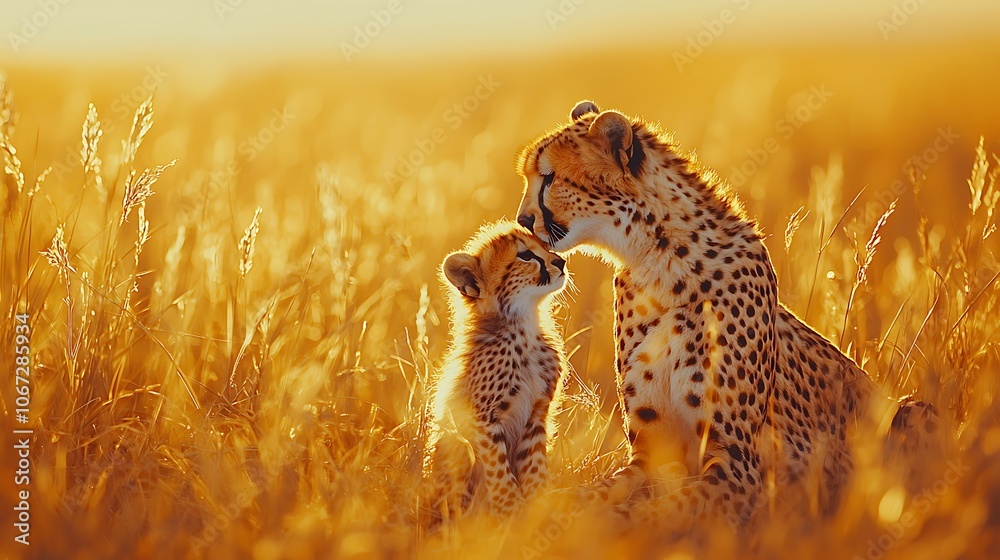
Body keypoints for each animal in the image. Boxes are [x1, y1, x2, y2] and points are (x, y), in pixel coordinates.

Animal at [423, 221, 569, 523]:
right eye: (525, 255)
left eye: (545, 246)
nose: (560, 262)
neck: (524, 324)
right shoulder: (483, 421)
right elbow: (500, 474)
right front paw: (510, 514)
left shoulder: (536, 415)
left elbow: (534, 469)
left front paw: (537, 510)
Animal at [512, 100, 943, 531]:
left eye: (549, 178)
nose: (522, 220)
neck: (658, 260)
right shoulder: (651, 453)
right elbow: (593, 494)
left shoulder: (740, 465)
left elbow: (657, 511)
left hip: (913, 412)